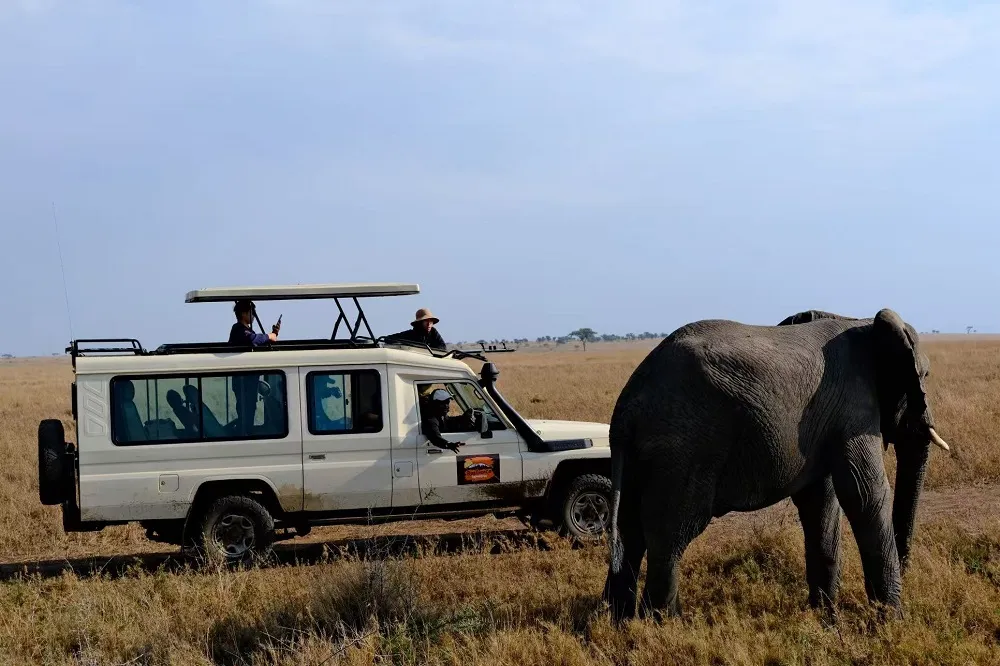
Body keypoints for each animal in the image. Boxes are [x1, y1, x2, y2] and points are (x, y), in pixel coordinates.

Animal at [601, 308, 950, 623]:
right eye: (924, 378)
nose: (907, 566)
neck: (861, 321)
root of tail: (627, 402)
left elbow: (820, 503)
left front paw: (825, 620)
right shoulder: (854, 406)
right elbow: (865, 495)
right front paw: (891, 626)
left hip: (642, 454)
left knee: (631, 534)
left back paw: (618, 624)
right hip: (683, 445)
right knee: (671, 535)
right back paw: (668, 627)